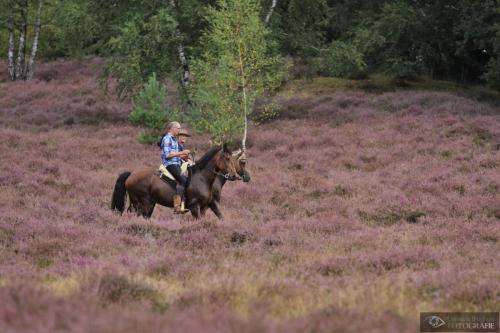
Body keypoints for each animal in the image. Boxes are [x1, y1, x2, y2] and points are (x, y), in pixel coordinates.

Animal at [113, 143, 246, 218]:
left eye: (233, 159)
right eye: (227, 158)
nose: (234, 175)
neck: (202, 178)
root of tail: (131, 174)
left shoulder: (205, 206)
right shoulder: (195, 207)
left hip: (149, 203)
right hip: (142, 203)